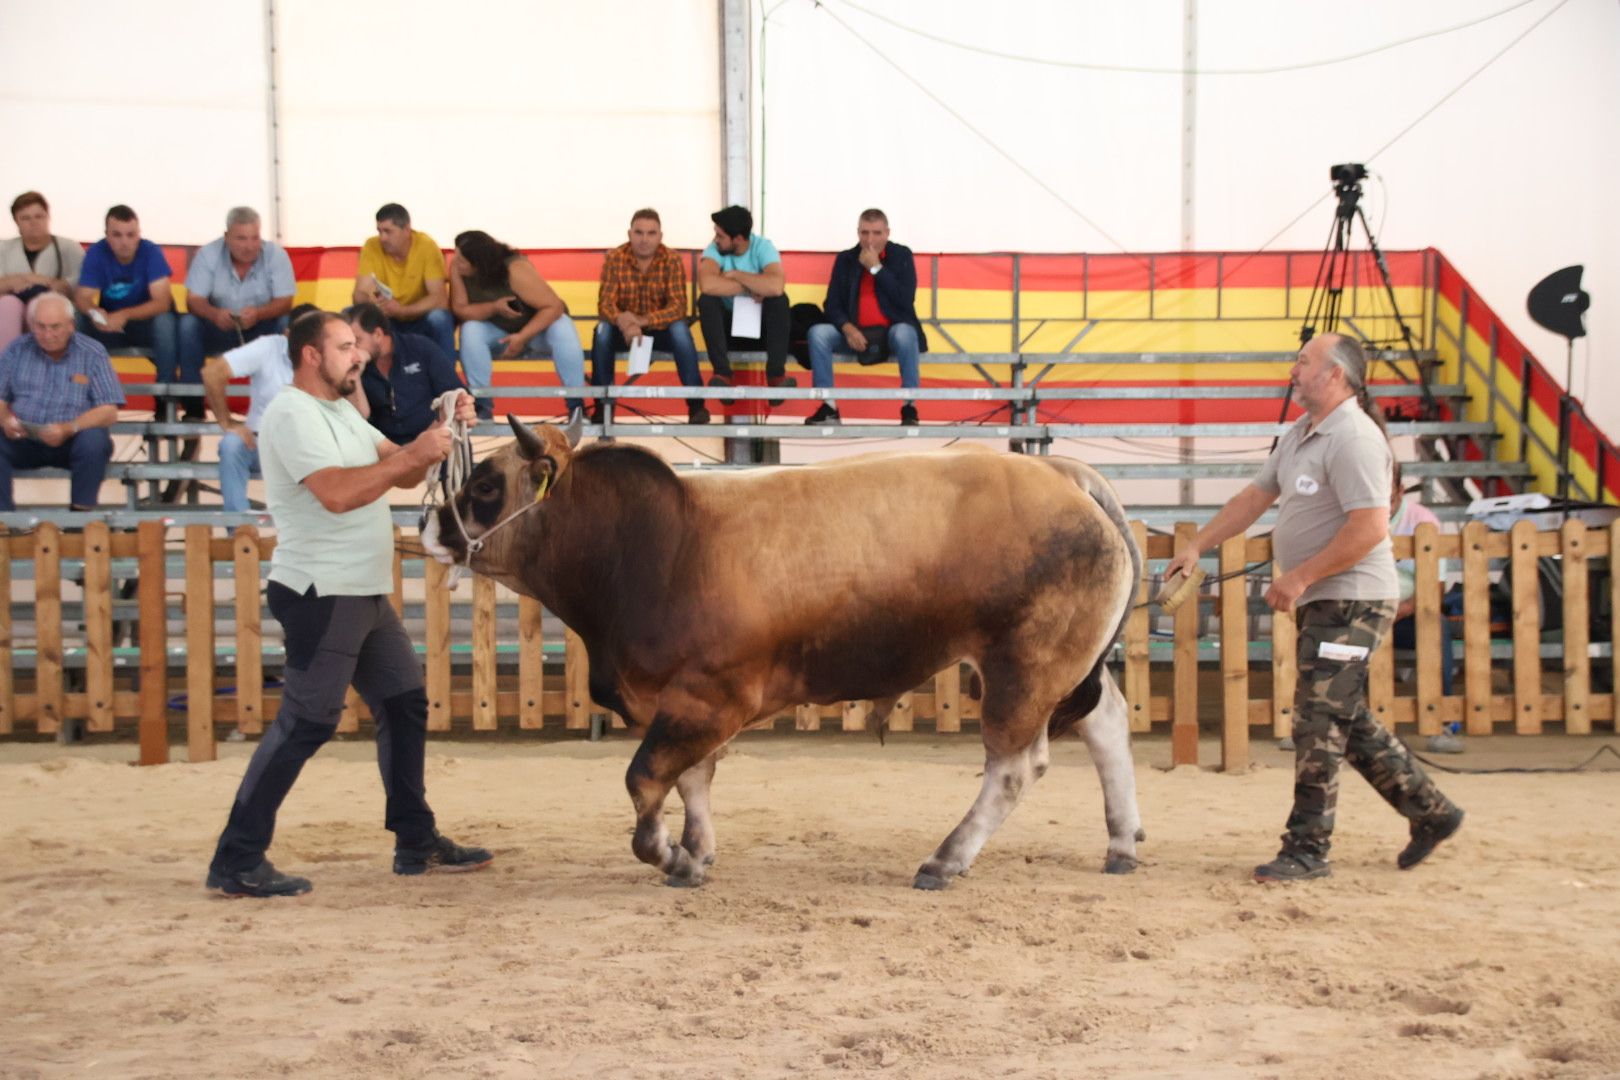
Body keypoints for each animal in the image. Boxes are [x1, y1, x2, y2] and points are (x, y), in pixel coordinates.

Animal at [424, 417, 1146, 893]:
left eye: (485, 485)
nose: (428, 523)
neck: (659, 541)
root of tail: (1062, 472)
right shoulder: (680, 702)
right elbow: (692, 780)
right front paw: (696, 852)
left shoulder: (709, 697)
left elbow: (646, 781)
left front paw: (669, 854)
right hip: (1062, 666)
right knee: (1107, 721)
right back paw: (1121, 840)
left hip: (1024, 667)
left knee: (1016, 767)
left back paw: (945, 859)